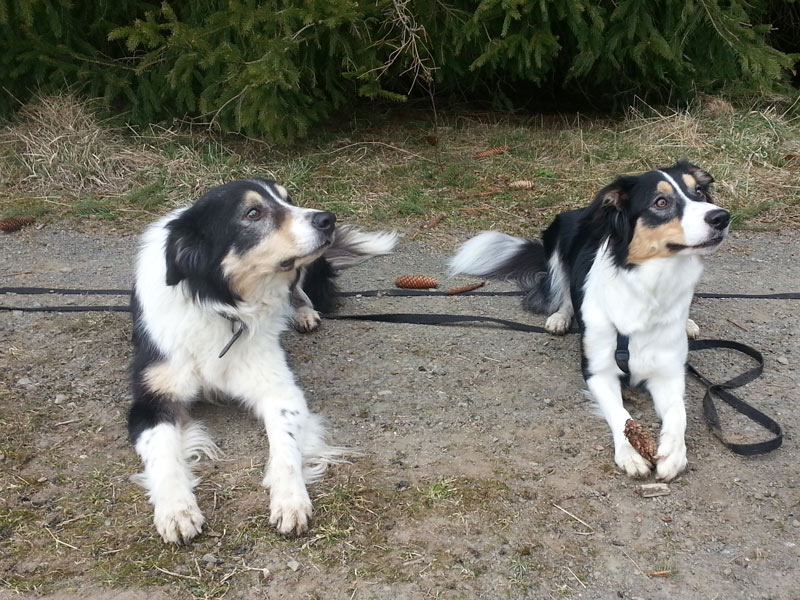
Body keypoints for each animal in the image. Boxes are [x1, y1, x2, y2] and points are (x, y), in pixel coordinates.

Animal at [127, 178, 396, 544]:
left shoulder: (280, 389)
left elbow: (285, 447)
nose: (328, 219)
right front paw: (176, 509)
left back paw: (303, 314)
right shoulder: (152, 398)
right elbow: (164, 455)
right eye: (253, 213)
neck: (221, 305)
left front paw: (290, 499)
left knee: (299, 291)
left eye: (288, 199)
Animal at [450, 161, 732, 482]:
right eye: (661, 202)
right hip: (557, 240)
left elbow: (678, 413)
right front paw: (631, 453)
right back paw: (560, 317)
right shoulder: (598, 370)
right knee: (563, 292)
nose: (721, 217)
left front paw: (674, 452)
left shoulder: (669, 373)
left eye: (699, 192)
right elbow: (620, 414)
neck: (649, 288)